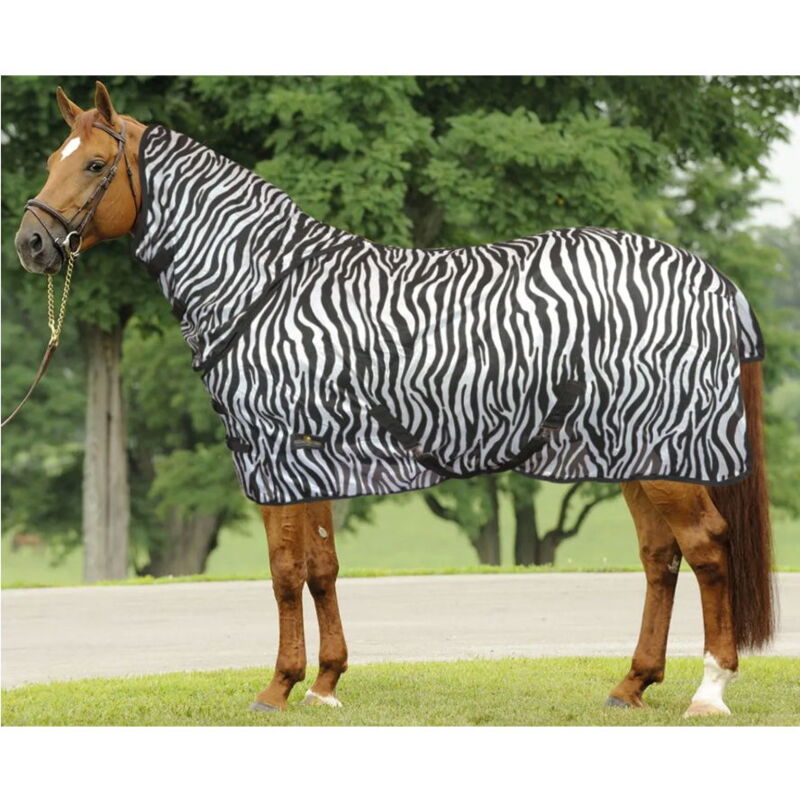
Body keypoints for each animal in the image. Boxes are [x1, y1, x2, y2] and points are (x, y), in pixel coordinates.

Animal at [13, 82, 774, 717]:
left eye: (94, 165)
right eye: (52, 157)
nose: (31, 243)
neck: (264, 289)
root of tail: (714, 283)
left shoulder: (275, 456)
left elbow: (284, 572)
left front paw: (277, 687)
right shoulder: (312, 461)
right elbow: (321, 568)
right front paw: (325, 683)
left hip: (668, 455)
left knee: (706, 549)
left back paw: (709, 691)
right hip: (635, 456)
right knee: (659, 557)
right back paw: (632, 683)